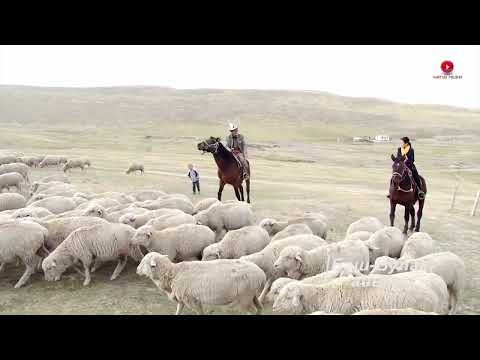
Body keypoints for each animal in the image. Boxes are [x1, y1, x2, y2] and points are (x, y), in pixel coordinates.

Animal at [136, 253, 266, 316]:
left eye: (144, 262)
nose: (137, 270)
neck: (173, 273)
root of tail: (261, 274)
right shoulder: (182, 300)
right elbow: (178, 311)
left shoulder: (191, 300)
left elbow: (200, 312)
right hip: (252, 295)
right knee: (259, 308)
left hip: (245, 297)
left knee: (252, 311)